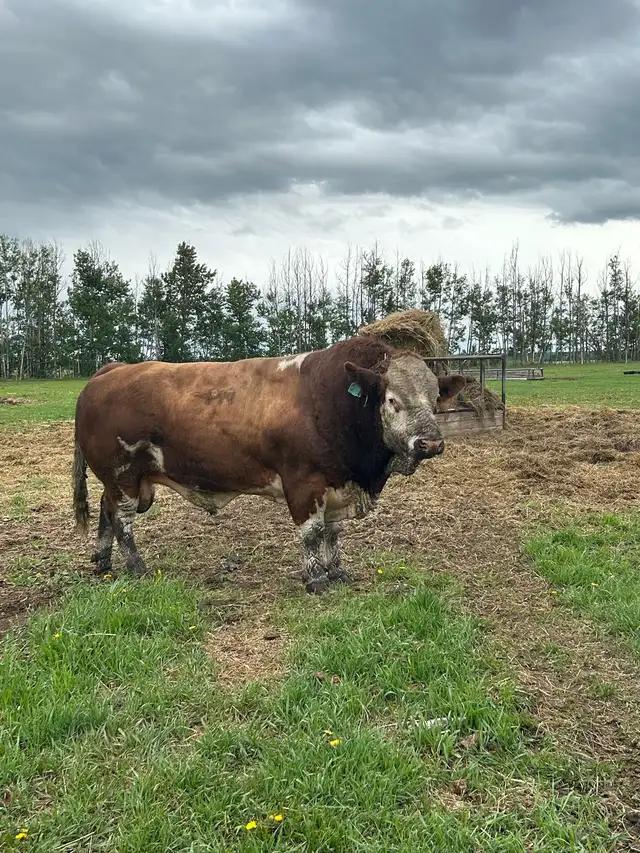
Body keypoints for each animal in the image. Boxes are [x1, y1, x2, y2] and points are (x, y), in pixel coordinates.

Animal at [72, 336, 466, 593]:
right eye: (392, 400)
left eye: (435, 399)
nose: (431, 443)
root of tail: (111, 371)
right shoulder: (303, 483)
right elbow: (312, 532)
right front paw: (316, 579)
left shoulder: (337, 483)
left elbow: (333, 533)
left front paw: (337, 571)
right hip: (123, 476)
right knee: (122, 520)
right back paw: (136, 567)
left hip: (127, 482)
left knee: (107, 510)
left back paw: (103, 561)